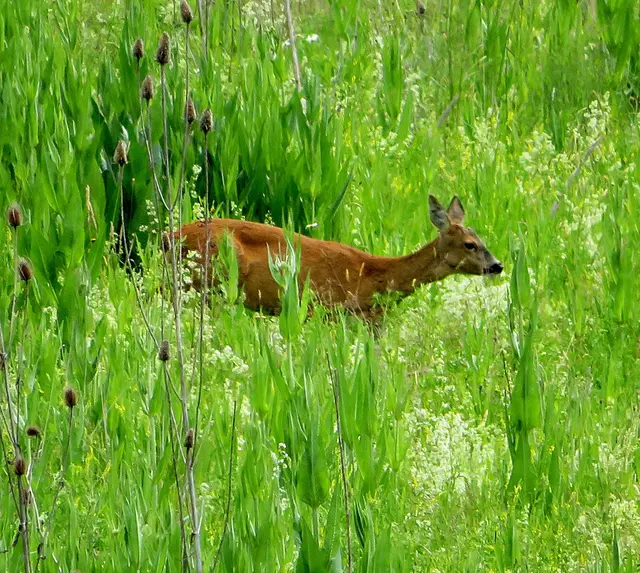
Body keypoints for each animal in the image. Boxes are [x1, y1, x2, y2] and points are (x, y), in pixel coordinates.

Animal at [168, 195, 503, 320]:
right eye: (470, 244)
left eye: (482, 240)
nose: (496, 266)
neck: (376, 276)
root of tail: (167, 237)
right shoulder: (330, 310)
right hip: (208, 282)